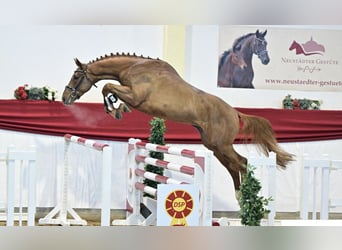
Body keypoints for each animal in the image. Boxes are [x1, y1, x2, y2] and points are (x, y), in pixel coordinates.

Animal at [62, 53, 294, 191]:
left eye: (76, 76)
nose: (65, 99)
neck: (134, 67)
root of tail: (235, 112)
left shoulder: (136, 96)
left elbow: (107, 87)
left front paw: (115, 110)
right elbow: (109, 88)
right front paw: (118, 109)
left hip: (222, 145)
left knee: (242, 163)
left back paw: (248, 197)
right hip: (214, 146)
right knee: (234, 166)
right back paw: (240, 197)